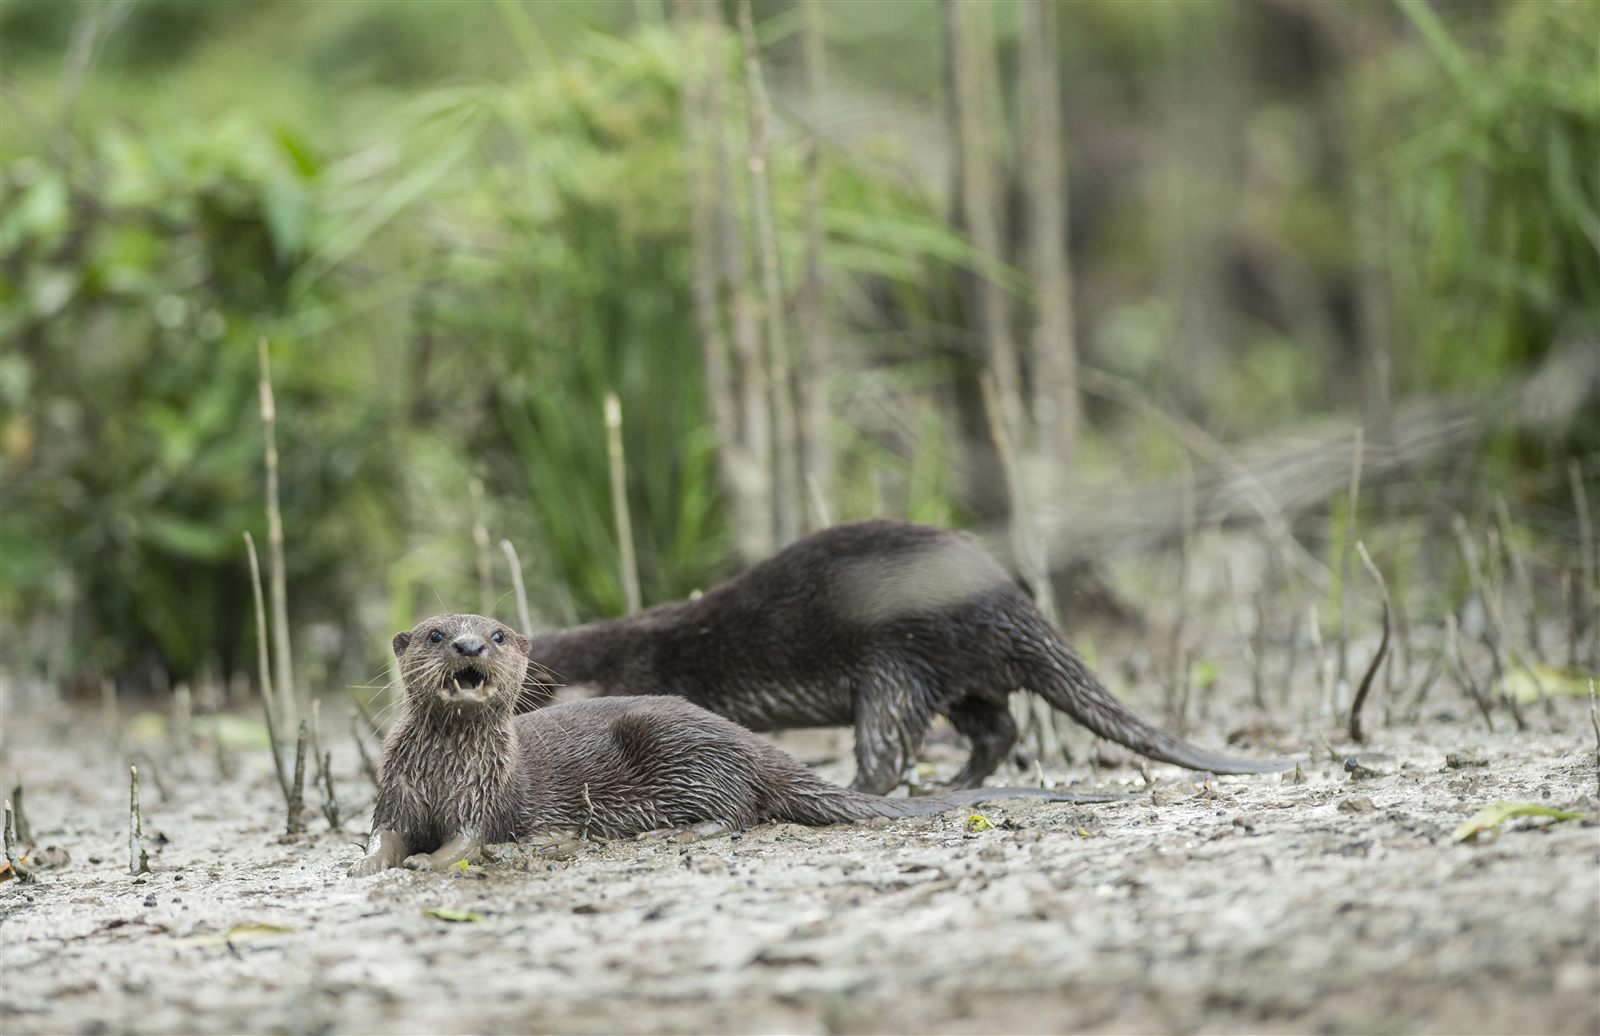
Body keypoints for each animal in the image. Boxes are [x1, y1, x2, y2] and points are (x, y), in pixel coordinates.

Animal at [350, 613, 1127, 877]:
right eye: (434, 633)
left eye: (497, 633)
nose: (469, 647)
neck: (446, 771)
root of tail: (751, 742)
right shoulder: (396, 794)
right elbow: (386, 835)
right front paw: (369, 864)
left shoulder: (488, 799)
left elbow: (468, 840)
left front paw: (429, 860)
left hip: (686, 749)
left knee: (742, 809)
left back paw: (677, 832)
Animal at [521, 519, 1290, 795]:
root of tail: (1009, 599)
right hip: (960, 675)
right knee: (998, 726)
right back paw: (957, 782)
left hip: (898, 665)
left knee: (890, 744)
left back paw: (868, 787)